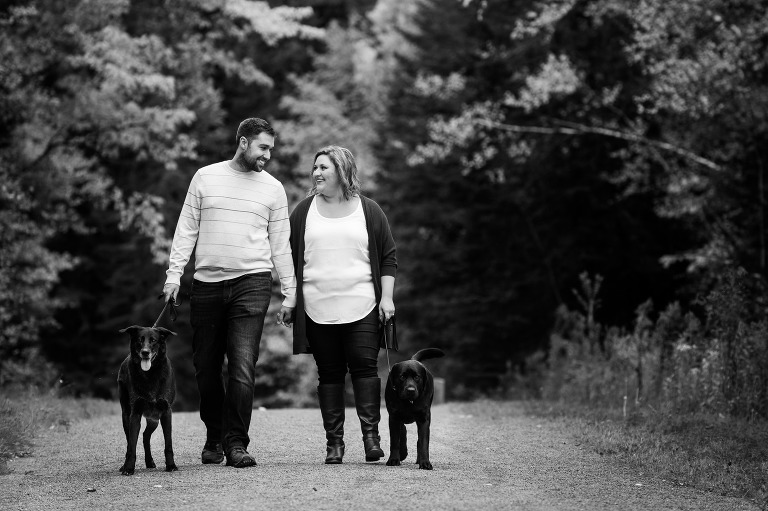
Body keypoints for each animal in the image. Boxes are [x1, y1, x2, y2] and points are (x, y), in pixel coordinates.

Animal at [118, 328, 178, 476]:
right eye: (140, 340)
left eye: (153, 340)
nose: (145, 352)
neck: (150, 374)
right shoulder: (135, 413)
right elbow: (132, 445)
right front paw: (128, 468)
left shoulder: (166, 412)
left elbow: (168, 444)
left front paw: (171, 465)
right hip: (126, 415)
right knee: (130, 440)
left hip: (154, 419)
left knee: (145, 436)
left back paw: (149, 461)